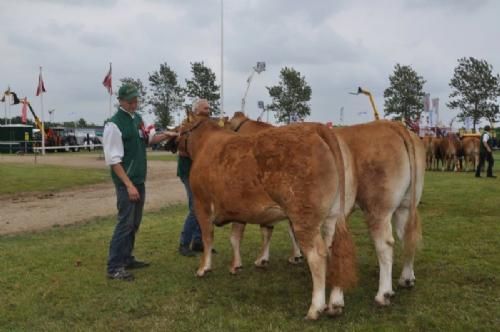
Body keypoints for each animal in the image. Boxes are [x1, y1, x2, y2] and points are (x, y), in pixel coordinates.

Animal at [176, 116, 356, 320]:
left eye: (181, 128)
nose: (171, 143)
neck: (205, 143)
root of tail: (317, 128)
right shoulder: (238, 211)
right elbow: (235, 238)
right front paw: (236, 266)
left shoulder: (201, 204)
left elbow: (208, 238)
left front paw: (203, 268)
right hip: (332, 217)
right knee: (335, 252)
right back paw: (336, 303)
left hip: (304, 217)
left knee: (318, 255)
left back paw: (315, 308)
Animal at [229, 113, 424, 310]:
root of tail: (393, 125)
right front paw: (293, 256)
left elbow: (257, 232)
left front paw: (256, 261)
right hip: (405, 205)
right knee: (407, 238)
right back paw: (407, 278)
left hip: (378, 208)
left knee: (385, 244)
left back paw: (383, 294)